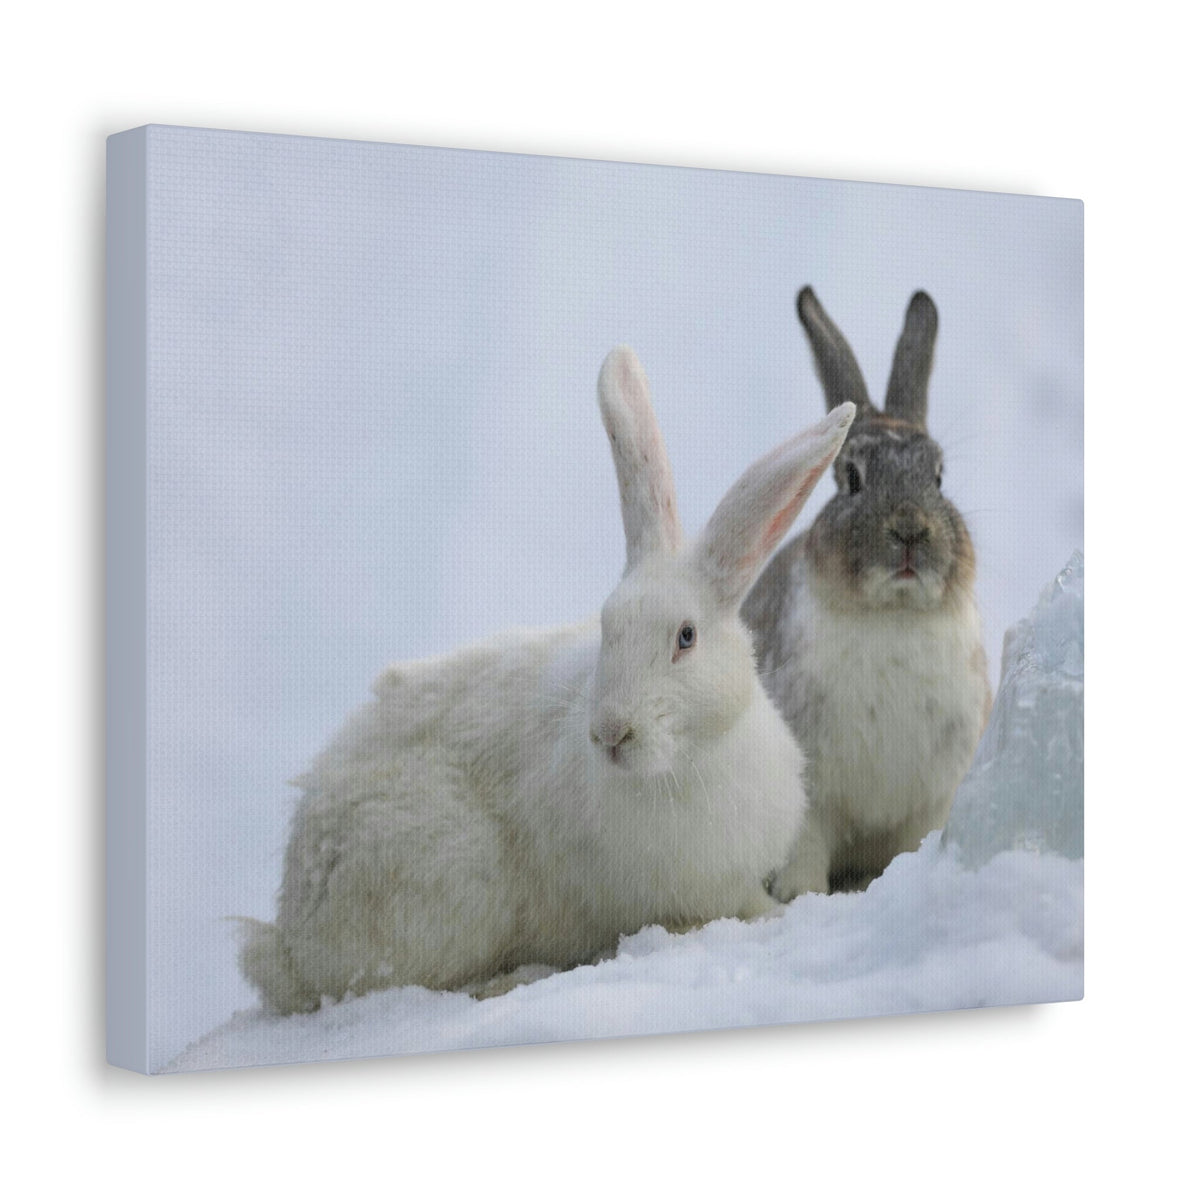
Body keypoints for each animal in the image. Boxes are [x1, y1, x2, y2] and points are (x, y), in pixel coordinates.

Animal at [241, 346, 855, 1014]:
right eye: (607, 628)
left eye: (686, 637)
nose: (610, 733)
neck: (690, 759)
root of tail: (292, 944)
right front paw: (774, 913)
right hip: (450, 880)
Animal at [741, 288, 992, 897]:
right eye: (852, 478)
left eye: (939, 477)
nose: (910, 530)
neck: (891, 613)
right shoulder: (810, 799)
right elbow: (805, 851)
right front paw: (800, 897)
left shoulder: (932, 801)